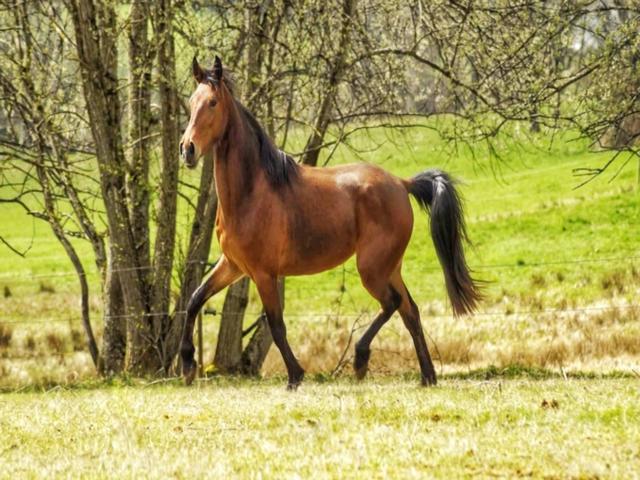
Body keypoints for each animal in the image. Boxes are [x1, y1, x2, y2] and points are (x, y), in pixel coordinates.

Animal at [179, 56, 481, 389]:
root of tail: (402, 184)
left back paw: (361, 359)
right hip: (389, 267)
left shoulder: (263, 273)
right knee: (409, 310)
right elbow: (194, 300)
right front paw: (188, 365)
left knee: (391, 303)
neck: (251, 191)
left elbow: (276, 325)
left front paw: (295, 376)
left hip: (371, 268)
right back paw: (427, 376)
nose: (187, 149)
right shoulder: (233, 265)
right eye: (191, 102)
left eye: (212, 102)